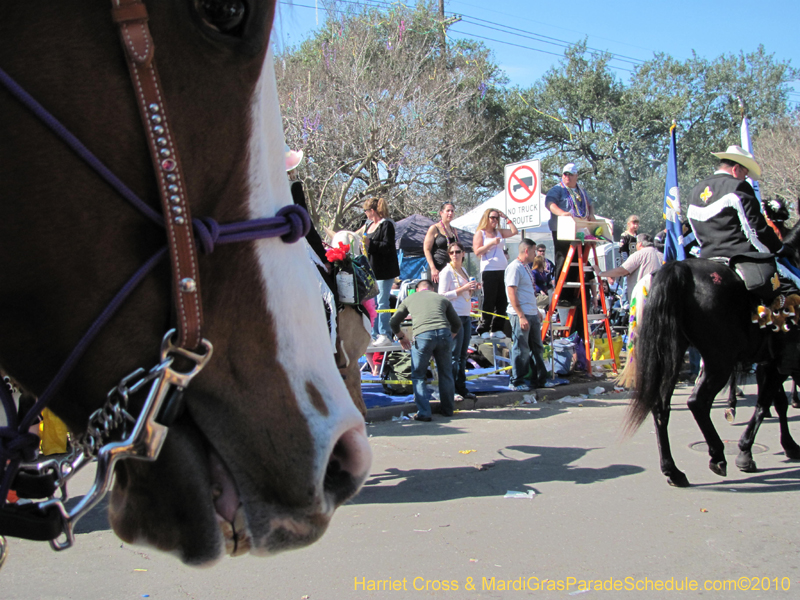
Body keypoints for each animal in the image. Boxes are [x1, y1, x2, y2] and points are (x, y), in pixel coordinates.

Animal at [624, 226, 800, 488]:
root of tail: (679, 268)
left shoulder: (771, 363)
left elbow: (775, 402)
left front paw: (785, 445)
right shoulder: (780, 363)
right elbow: (765, 404)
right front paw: (746, 451)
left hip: (674, 354)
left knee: (661, 406)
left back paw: (673, 471)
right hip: (720, 360)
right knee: (697, 402)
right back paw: (717, 455)